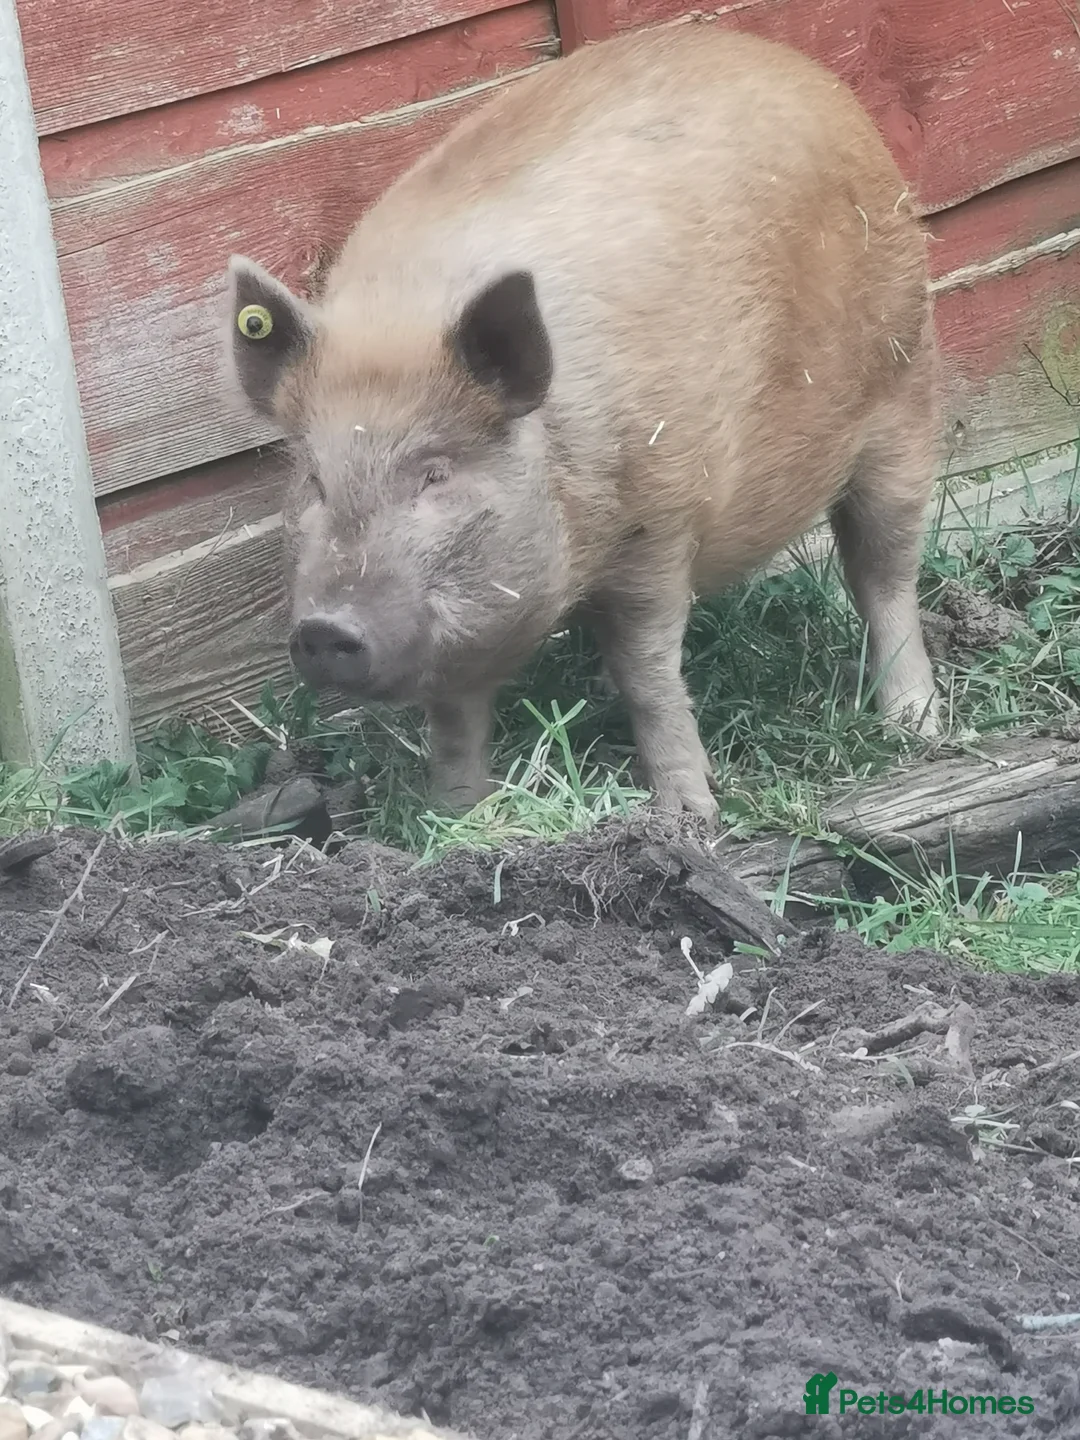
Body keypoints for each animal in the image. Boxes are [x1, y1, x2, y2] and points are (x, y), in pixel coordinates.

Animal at [223, 19, 942, 828]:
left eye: (435, 473)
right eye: (314, 482)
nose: (323, 627)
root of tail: (806, 74)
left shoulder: (661, 520)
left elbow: (648, 673)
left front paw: (691, 815)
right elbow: (454, 716)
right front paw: (452, 819)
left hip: (905, 386)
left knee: (883, 567)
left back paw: (915, 727)